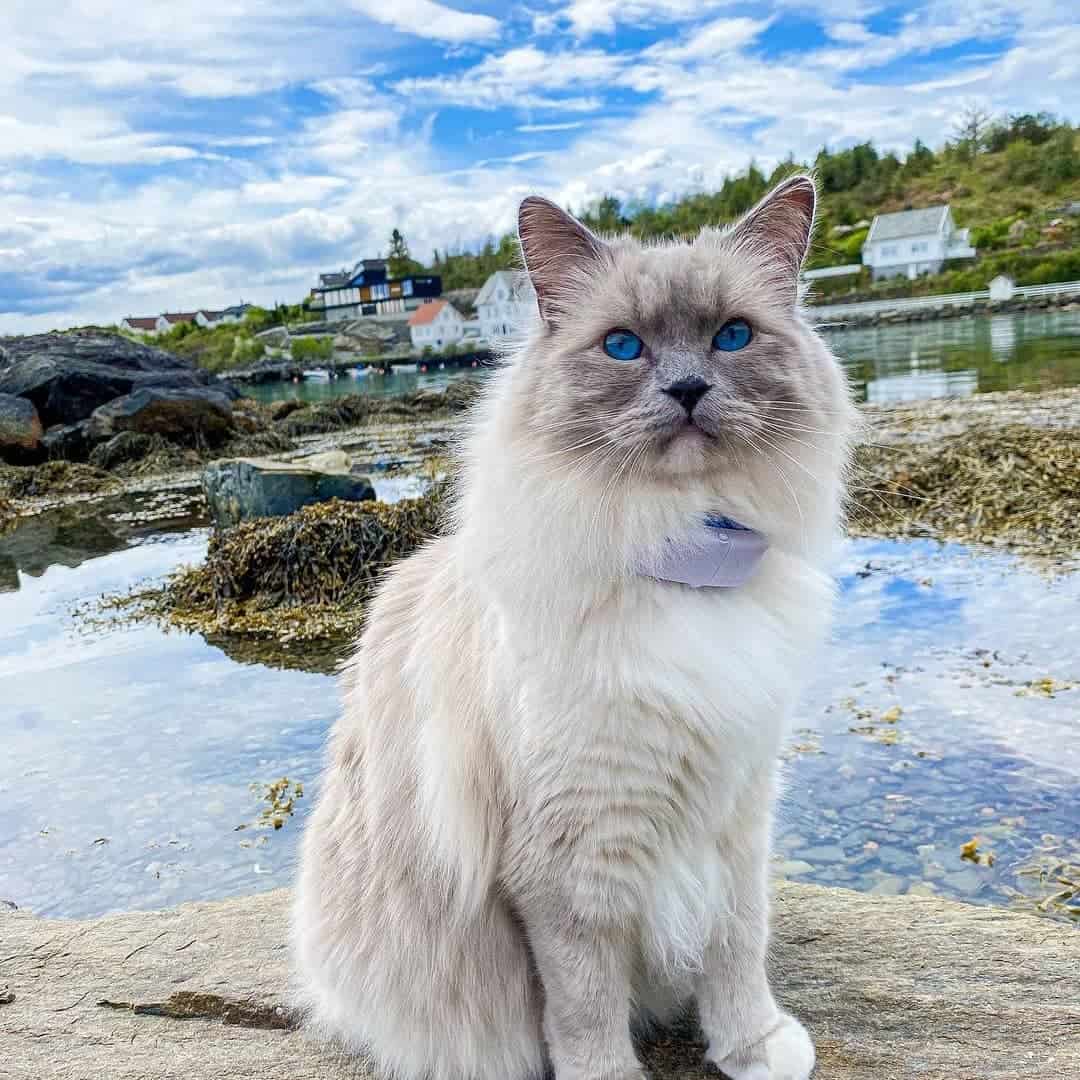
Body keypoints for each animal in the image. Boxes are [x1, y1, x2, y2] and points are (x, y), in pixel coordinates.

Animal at [291, 177, 855, 1080]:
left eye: (731, 337)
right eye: (623, 347)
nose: (688, 390)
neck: (680, 554)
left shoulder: (736, 813)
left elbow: (737, 949)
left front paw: (754, 1049)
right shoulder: (574, 863)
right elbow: (587, 1011)